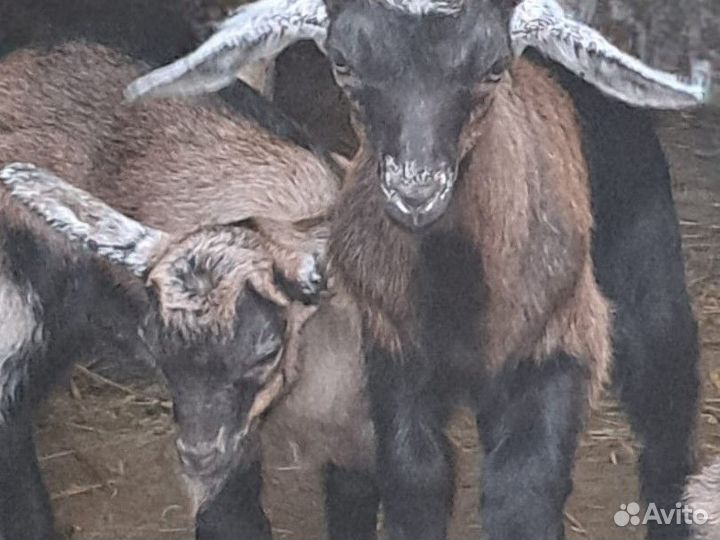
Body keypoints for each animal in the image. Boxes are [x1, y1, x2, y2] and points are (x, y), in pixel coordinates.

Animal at [126, 0, 711, 538]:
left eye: (493, 67)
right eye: (343, 62)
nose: (415, 191)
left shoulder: (561, 341)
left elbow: (524, 486)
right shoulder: (391, 357)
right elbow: (414, 475)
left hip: (646, 266)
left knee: (665, 391)